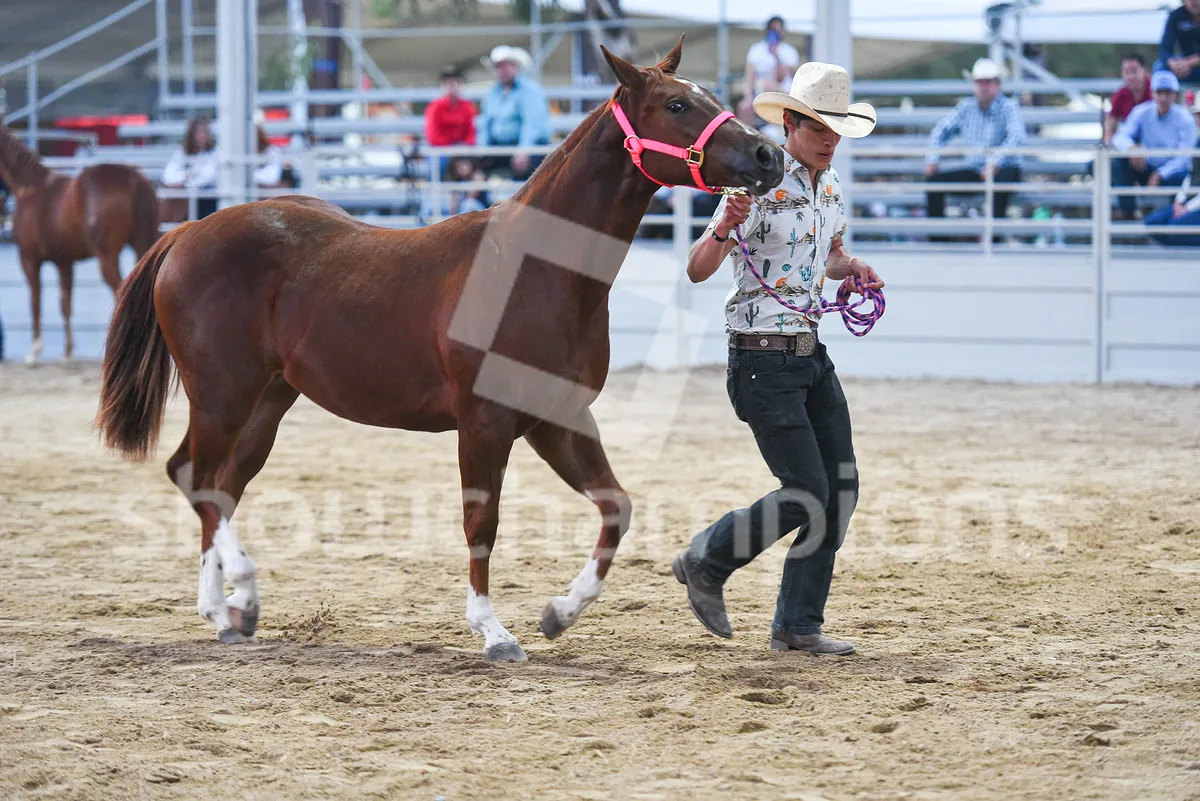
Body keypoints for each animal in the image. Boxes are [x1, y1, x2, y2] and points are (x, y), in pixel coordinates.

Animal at [0, 122, 159, 362]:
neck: (31, 187)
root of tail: (133, 180)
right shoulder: (64, 261)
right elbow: (65, 304)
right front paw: (67, 353)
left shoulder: (29, 258)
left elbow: (35, 301)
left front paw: (35, 351)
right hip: (143, 245)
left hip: (107, 257)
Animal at [96, 38, 785, 662]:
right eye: (676, 104)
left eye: (708, 95)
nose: (769, 154)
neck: (534, 271)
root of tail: (188, 230)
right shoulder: (484, 423)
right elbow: (482, 522)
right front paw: (494, 633)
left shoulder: (557, 418)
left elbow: (617, 507)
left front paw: (558, 613)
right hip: (222, 395)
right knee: (195, 476)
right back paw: (235, 595)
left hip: (269, 400)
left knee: (219, 484)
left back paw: (228, 612)